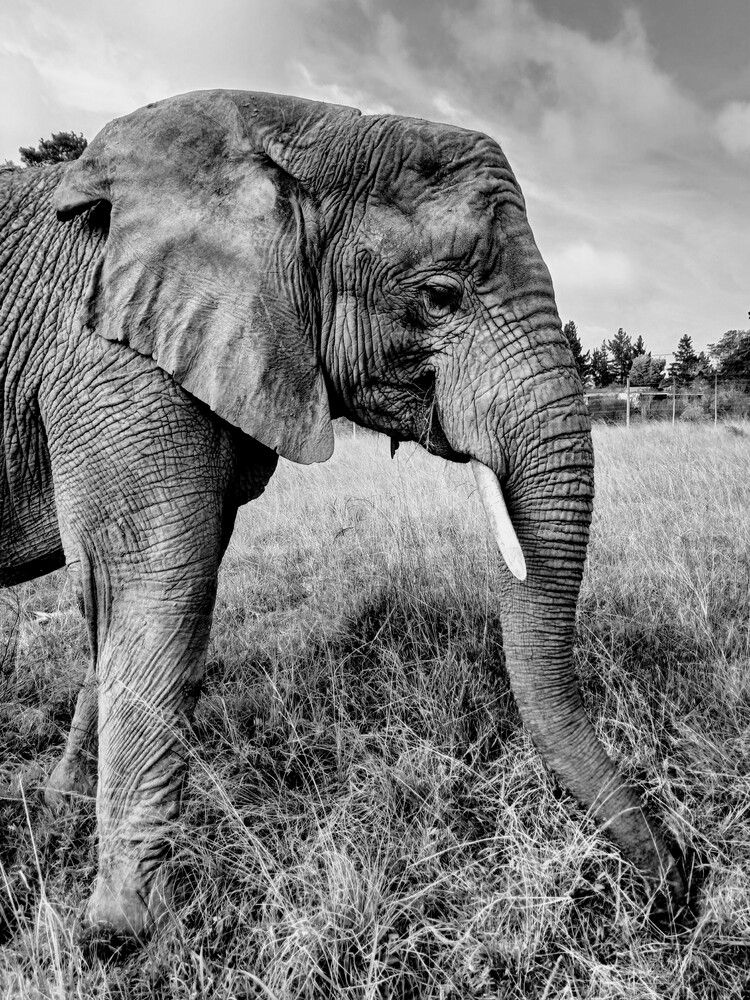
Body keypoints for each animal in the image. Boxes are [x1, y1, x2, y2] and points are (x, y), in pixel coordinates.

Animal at [0, 89, 686, 941]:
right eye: (438, 297)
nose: (671, 888)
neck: (295, 131)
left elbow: (127, 594)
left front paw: (61, 819)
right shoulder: (107, 357)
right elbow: (160, 585)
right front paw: (129, 933)